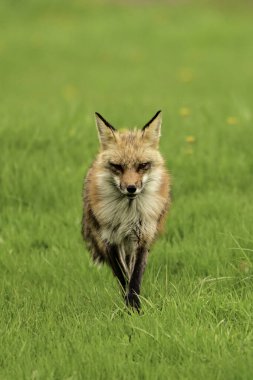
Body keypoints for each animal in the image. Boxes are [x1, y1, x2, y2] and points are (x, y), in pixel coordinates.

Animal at [82, 111, 171, 310]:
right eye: (117, 166)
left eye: (142, 165)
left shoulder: (143, 237)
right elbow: (123, 277)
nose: (131, 188)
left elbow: (135, 277)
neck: (127, 214)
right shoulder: (110, 240)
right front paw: (128, 307)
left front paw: (135, 308)